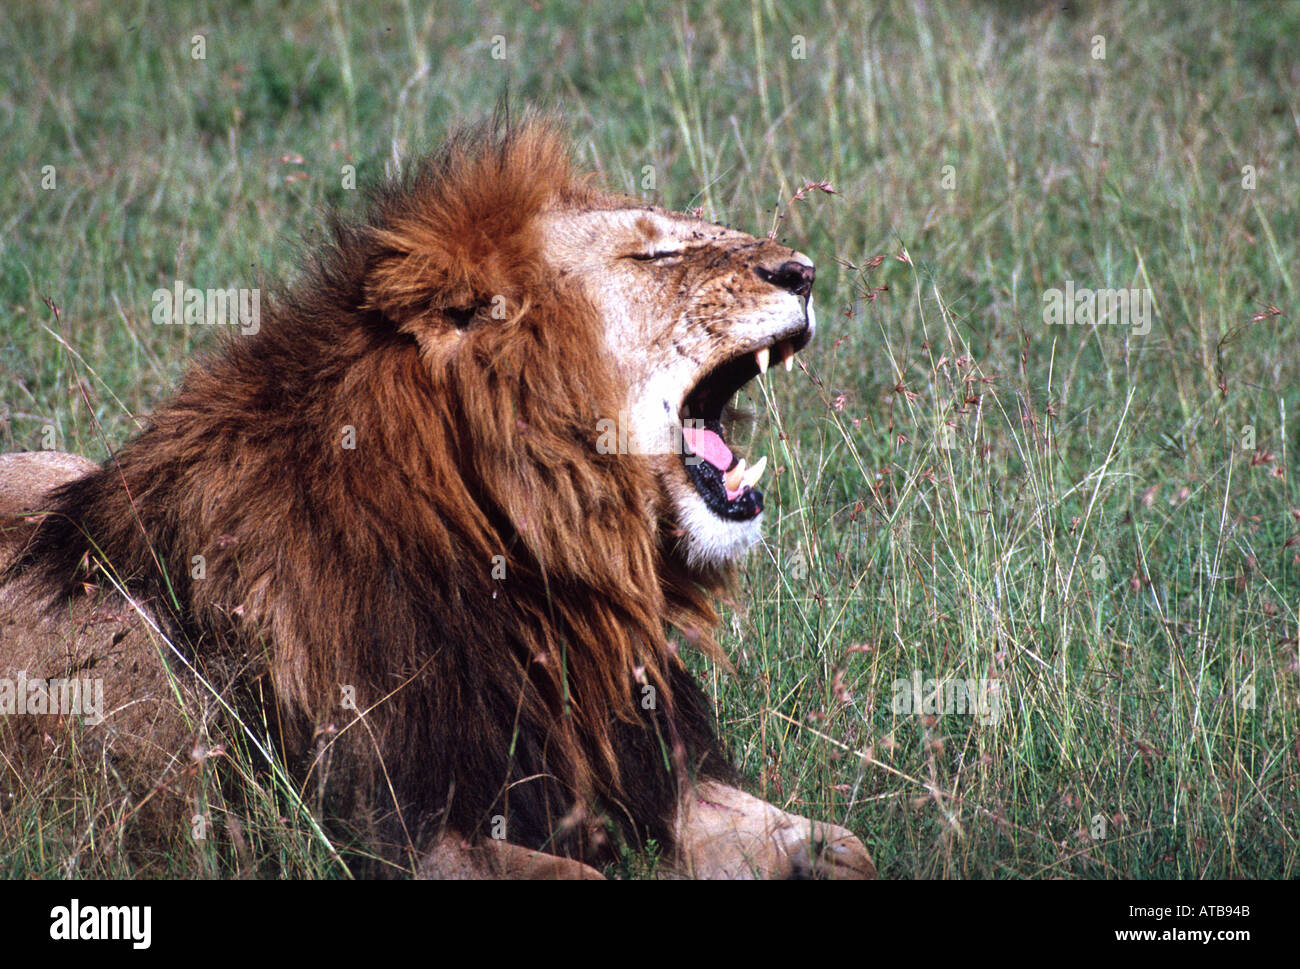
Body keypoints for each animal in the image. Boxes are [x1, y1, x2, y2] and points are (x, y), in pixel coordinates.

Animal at [0, 116, 874, 879]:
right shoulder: (373, 836)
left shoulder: (650, 774)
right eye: (653, 254)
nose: (804, 272)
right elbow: (577, 873)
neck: (536, 575)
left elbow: (849, 847)